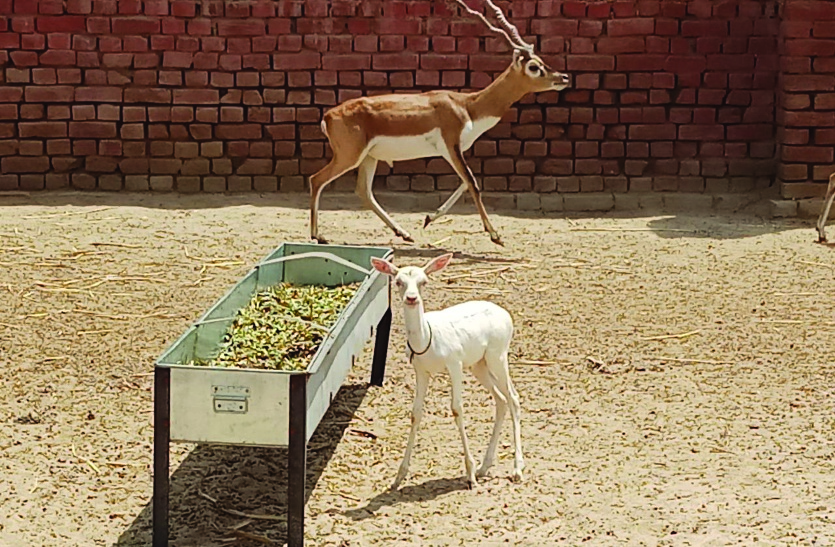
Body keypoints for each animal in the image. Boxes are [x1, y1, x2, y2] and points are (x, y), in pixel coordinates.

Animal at [309, 0, 571, 247]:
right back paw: (317, 236)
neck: (467, 106)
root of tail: (328, 116)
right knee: (316, 180)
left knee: (364, 191)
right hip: (350, 156)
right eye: (534, 67)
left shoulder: (453, 151)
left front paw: (428, 218)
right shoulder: (450, 145)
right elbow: (472, 182)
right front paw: (495, 235)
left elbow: (465, 182)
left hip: (369, 157)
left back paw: (404, 234)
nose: (564, 78)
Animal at [369, 252, 523, 490]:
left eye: (423, 281)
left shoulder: (455, 365)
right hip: (479, 366)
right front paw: (398, 478)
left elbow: (457, 409)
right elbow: (415, 414)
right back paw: (484, 467)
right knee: (501, 400)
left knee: (513, 399)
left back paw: (516, 470)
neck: (427, 337)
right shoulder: (421, 372)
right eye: (398, 281)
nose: (412, 298)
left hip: (497, 358)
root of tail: (504, 313)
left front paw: (469, 474)